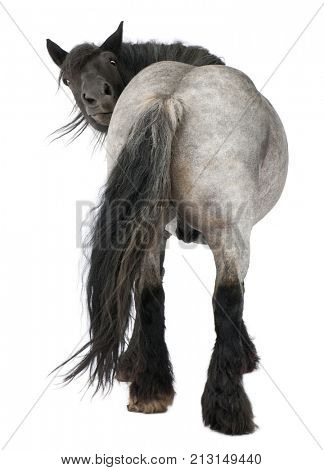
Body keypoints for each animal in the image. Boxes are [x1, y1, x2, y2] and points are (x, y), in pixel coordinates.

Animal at [46, 21, 288, 434]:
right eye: (67, 77)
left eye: (111, 60)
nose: (95, 97)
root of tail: (171, 97)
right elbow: (237, 294)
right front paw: (245, 356)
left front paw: (132, 363)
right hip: (229, 235)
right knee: (225, 298)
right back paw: (227, 407)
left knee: (148, 292)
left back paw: (151, 389)